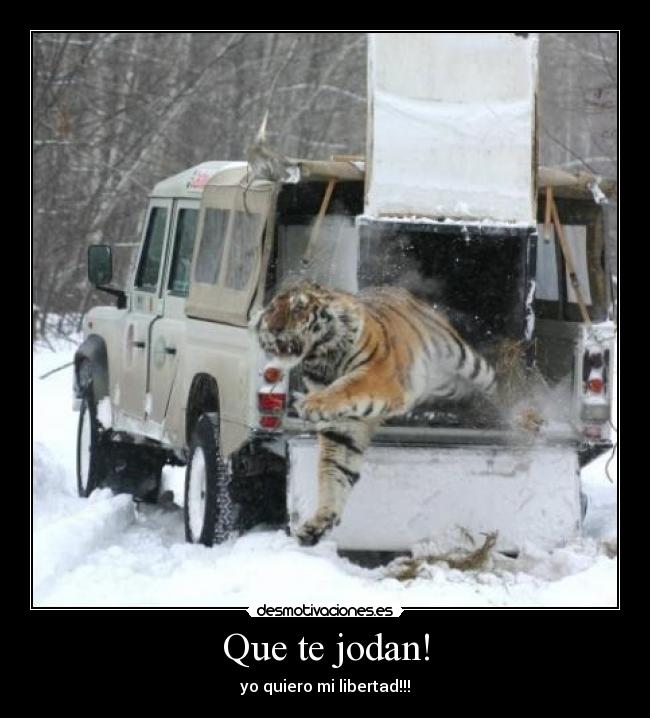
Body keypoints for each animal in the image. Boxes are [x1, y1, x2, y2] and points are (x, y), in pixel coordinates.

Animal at [251, 281, 497, 546]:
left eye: (298, 308)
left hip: (464, 361)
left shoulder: (376, 375)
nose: (274, 328)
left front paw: (311, 403)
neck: (321, 360)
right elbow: (333, 473)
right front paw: (319, 523)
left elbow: (346, 386)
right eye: (272, 309)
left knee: (492, 381)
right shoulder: (343, 428)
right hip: (445, 383)